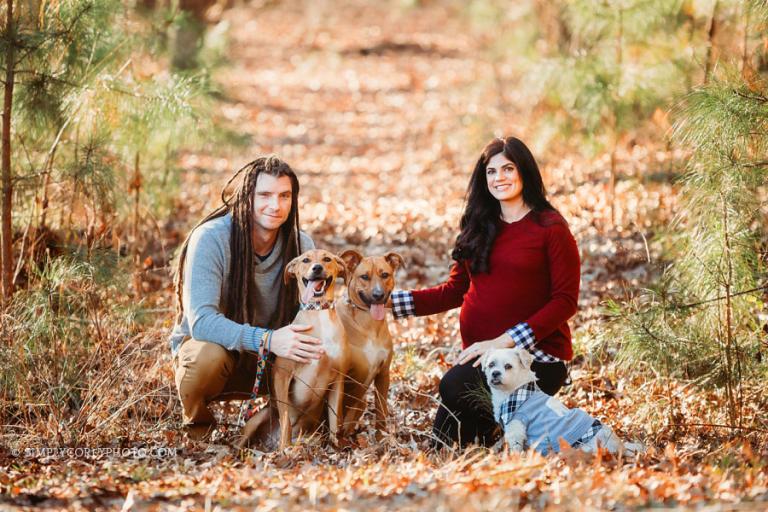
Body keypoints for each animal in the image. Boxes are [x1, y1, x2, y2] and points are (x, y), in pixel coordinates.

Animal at [240, 250, 352, 450]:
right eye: (306, 260)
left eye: (327, 259)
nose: (317, 268)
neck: (318, 312)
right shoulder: (282, 375)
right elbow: (285, 418)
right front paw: (285, 449)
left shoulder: (339, 378)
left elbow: (335, 419)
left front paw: (336, 446)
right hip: (258, 418)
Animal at [338, 250, 404, 438]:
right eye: (365, 276)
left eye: (385, 275)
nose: (378, 295)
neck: (369, 323)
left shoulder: (383, 373)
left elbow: (381, 410)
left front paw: (381, 438)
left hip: (362, 402)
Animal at [484, 348, 640, 456]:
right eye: (491, 364)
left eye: (508, 366)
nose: (495, 373)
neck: (515, 390)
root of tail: (621, 448)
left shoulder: (515, 428)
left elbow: (515, 448)